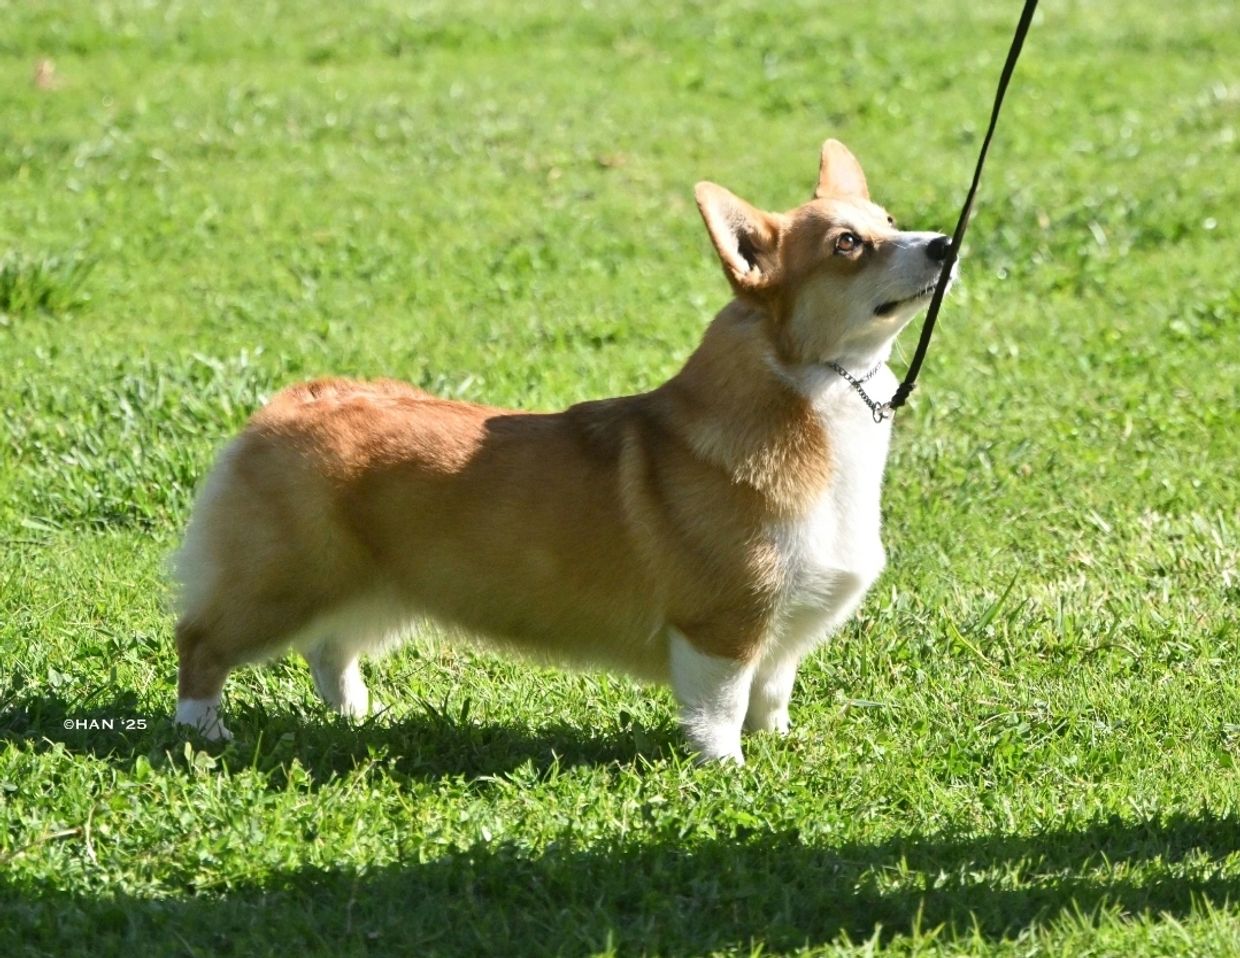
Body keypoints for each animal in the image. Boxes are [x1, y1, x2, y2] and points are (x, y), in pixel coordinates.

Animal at [172, 138, 951, 763]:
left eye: (888, 222)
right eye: (847, 244)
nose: (944, 244)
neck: (815, 392)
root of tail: (289, 402)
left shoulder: (781, 629)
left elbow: (771, 695)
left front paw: (779, 747)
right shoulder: (720, 626)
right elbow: (721, 707)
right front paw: (725, 770)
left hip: (371, 586)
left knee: (330, 649)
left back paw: (364, 717)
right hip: (284, 580)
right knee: (202, 643)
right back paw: (203, 733)